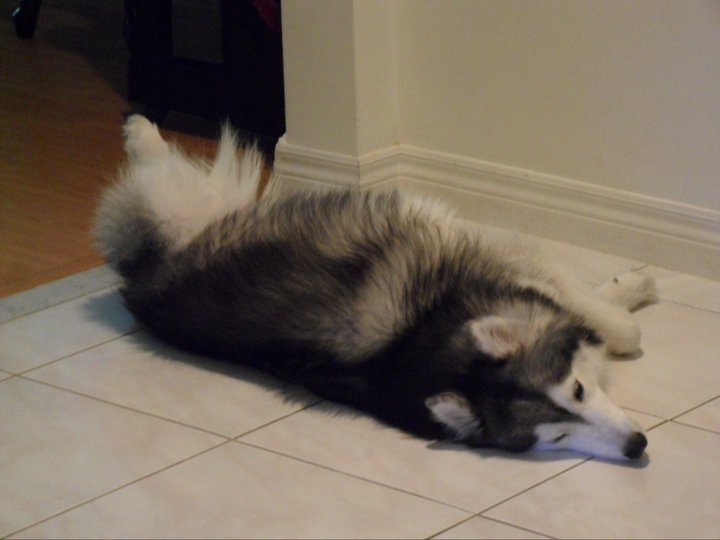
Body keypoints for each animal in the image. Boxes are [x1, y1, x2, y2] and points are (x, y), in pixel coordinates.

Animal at [94, 115, 657, 461]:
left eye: (578, 392)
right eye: (558, 433)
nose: (636, 446)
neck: (426, 328)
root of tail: (143, 279)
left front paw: (622, 283)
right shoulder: (501, 259)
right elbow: (616, 325)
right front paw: (631, 285)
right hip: (182, 206)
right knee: (157, 173)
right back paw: (141, 131)